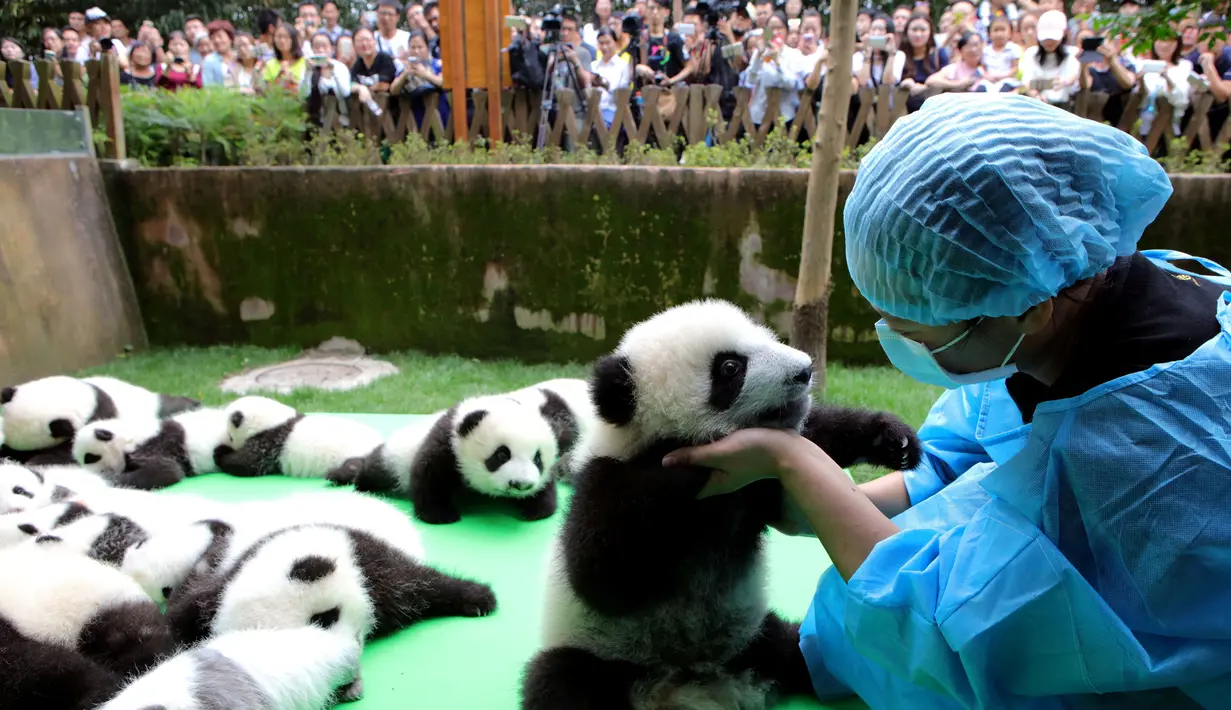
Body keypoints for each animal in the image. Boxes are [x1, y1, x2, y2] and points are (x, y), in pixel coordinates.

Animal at [212, 396, 385, 480]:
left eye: (229, 435)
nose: (226, 440)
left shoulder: (270, 442)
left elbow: (247, 464)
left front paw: (220, 451)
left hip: (360, 453)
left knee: (355, 466)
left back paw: (335, 475)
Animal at [339, 395, 562, 525]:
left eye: (538, 459)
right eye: (501, 455)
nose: (521, 484)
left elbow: (546, 486)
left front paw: (537, 509)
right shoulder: (446, 444)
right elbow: (429, 476)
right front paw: (440, 514)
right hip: (394, 457)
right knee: (376, 470)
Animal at [520, 299, 922, 710]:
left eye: (765, 336)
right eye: (730, 368)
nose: (805, 370)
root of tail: (695, 682)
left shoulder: (757, 487)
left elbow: (810, 438)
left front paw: (891, 439)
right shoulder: (604, 481)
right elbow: (601, 575)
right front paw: (682, 468)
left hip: (753, 634)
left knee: (802, 647)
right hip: (599, 652)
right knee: (564, 683)